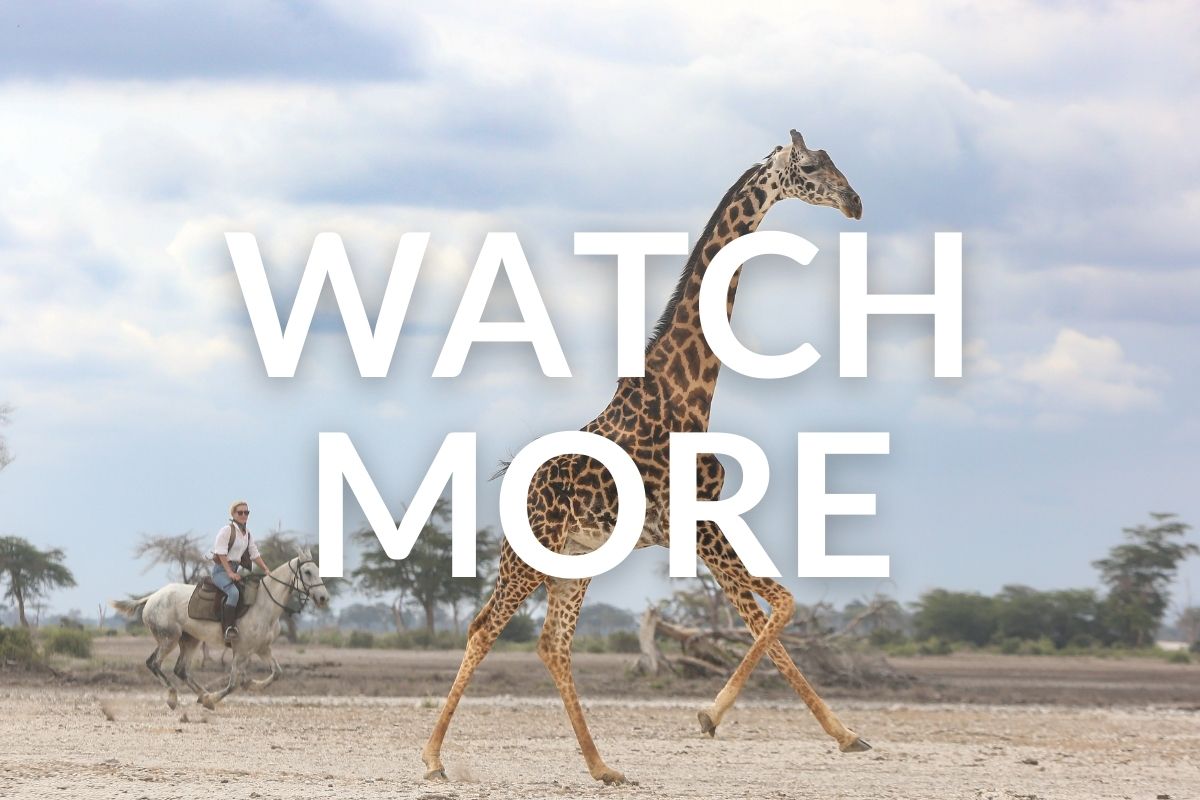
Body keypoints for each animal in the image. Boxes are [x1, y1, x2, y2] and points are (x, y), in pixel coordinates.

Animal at [113, 548, 329, 710]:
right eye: (308, 572)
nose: (323, 598)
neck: (264, 603)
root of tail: (152, 597)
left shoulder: (262, 649)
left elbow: (277, 673)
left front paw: (251, 684)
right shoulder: (241, 651)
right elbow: (233, 684)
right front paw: (216, 698)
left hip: (190, 640)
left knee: (181, 670)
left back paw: (203, 696)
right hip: (169, 639)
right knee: (154, 663)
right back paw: (175, 698)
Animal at [422, 129, 868, 785]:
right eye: (811, 167)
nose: (855, 203)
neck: (689, 387)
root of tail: (511, 481)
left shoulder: (704, 521)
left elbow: (774, 608)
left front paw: (844, 734)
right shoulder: (699, 521)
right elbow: (775, 610)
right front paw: (712, 716)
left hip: (574, 559)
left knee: (553, 643)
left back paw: (602, 766)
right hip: (527, 553)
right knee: (484, 629)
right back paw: (432, 757)